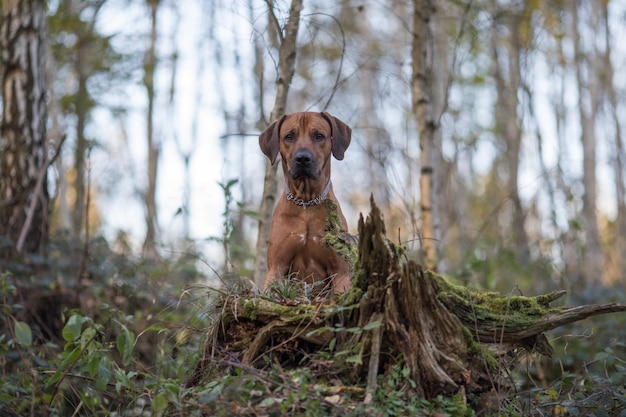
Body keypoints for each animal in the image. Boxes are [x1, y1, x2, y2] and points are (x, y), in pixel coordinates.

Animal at [258, 111, 352, 292]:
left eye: (319, 136)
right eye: (289, 136)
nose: (302, 158)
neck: (306, 202)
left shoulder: (341, 272)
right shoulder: (276, 268)